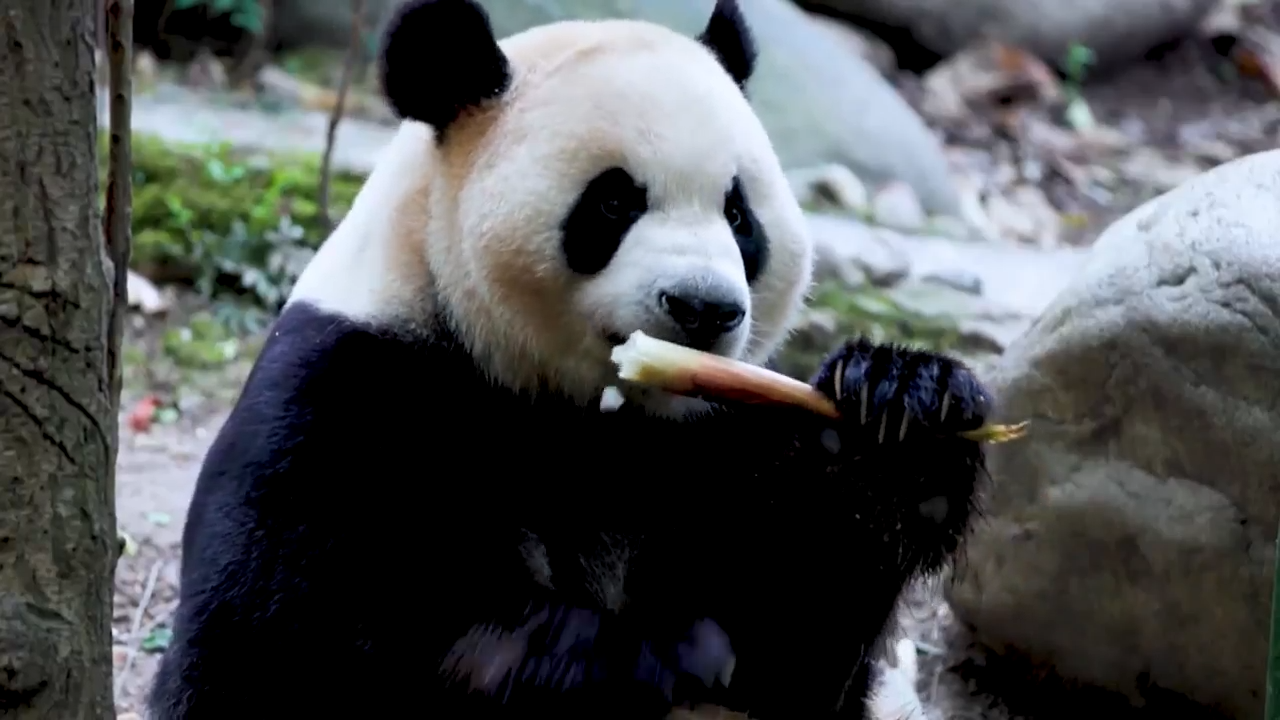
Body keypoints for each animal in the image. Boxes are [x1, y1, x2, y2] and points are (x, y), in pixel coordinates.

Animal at [147, 0, 990, 718]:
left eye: (739, 213)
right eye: (614, 202)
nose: (705, 309)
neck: (593, 414)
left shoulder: (709, 441)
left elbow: (798, 638)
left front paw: (902, 415)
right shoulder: (349, 390)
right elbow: (284, 640)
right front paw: (648, 650)